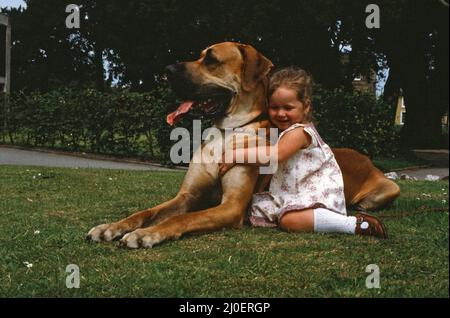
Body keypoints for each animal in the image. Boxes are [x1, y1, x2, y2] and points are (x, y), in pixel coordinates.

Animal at [86, 41, 400, 248]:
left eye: (211, 60)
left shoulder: (232, 206)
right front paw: (112, 227)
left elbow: (182, 220)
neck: (227, 131)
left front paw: (147, 234)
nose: (167, 69)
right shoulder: (187, 196)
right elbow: (146, 212)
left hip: (388, 189)